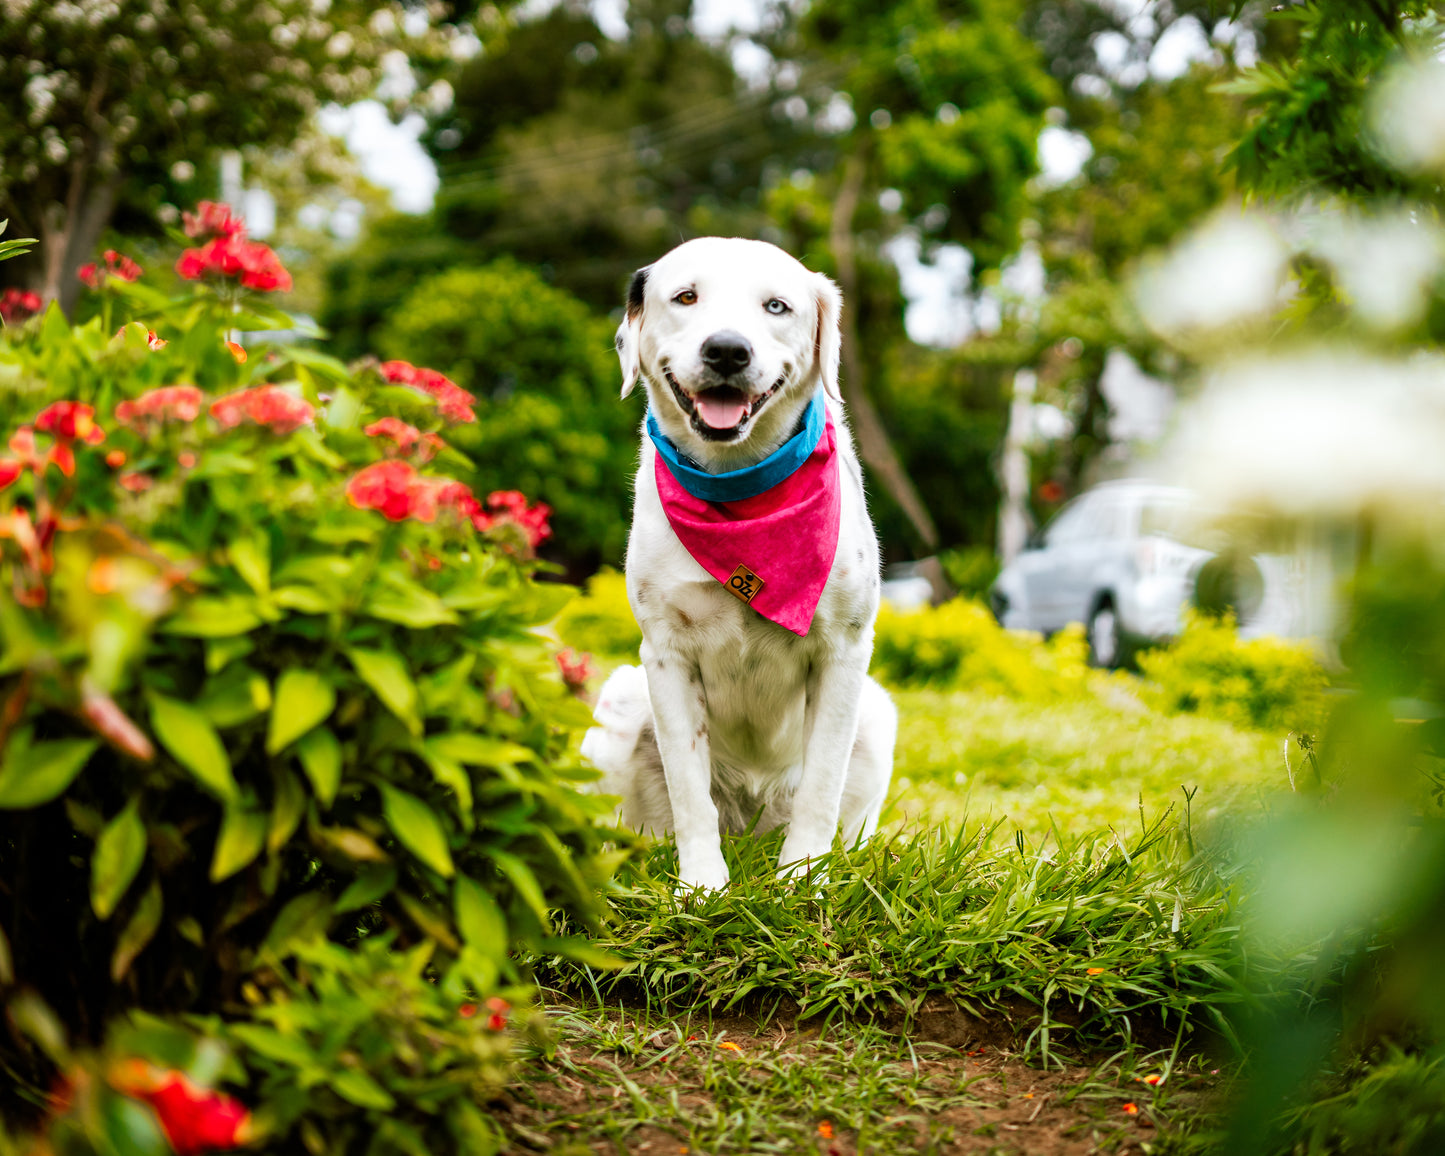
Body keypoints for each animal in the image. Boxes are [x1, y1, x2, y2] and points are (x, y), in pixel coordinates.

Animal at [580, 232, 895, 884]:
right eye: (686, 297)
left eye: (776, 306)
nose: (727, 349)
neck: (741, 487)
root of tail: (749, 829)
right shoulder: (666, 655)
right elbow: (689, 792)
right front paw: (701, 885)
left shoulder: (845, 651)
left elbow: (821, 790)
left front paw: (804, 880)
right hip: (622, 699)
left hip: (877, 714)